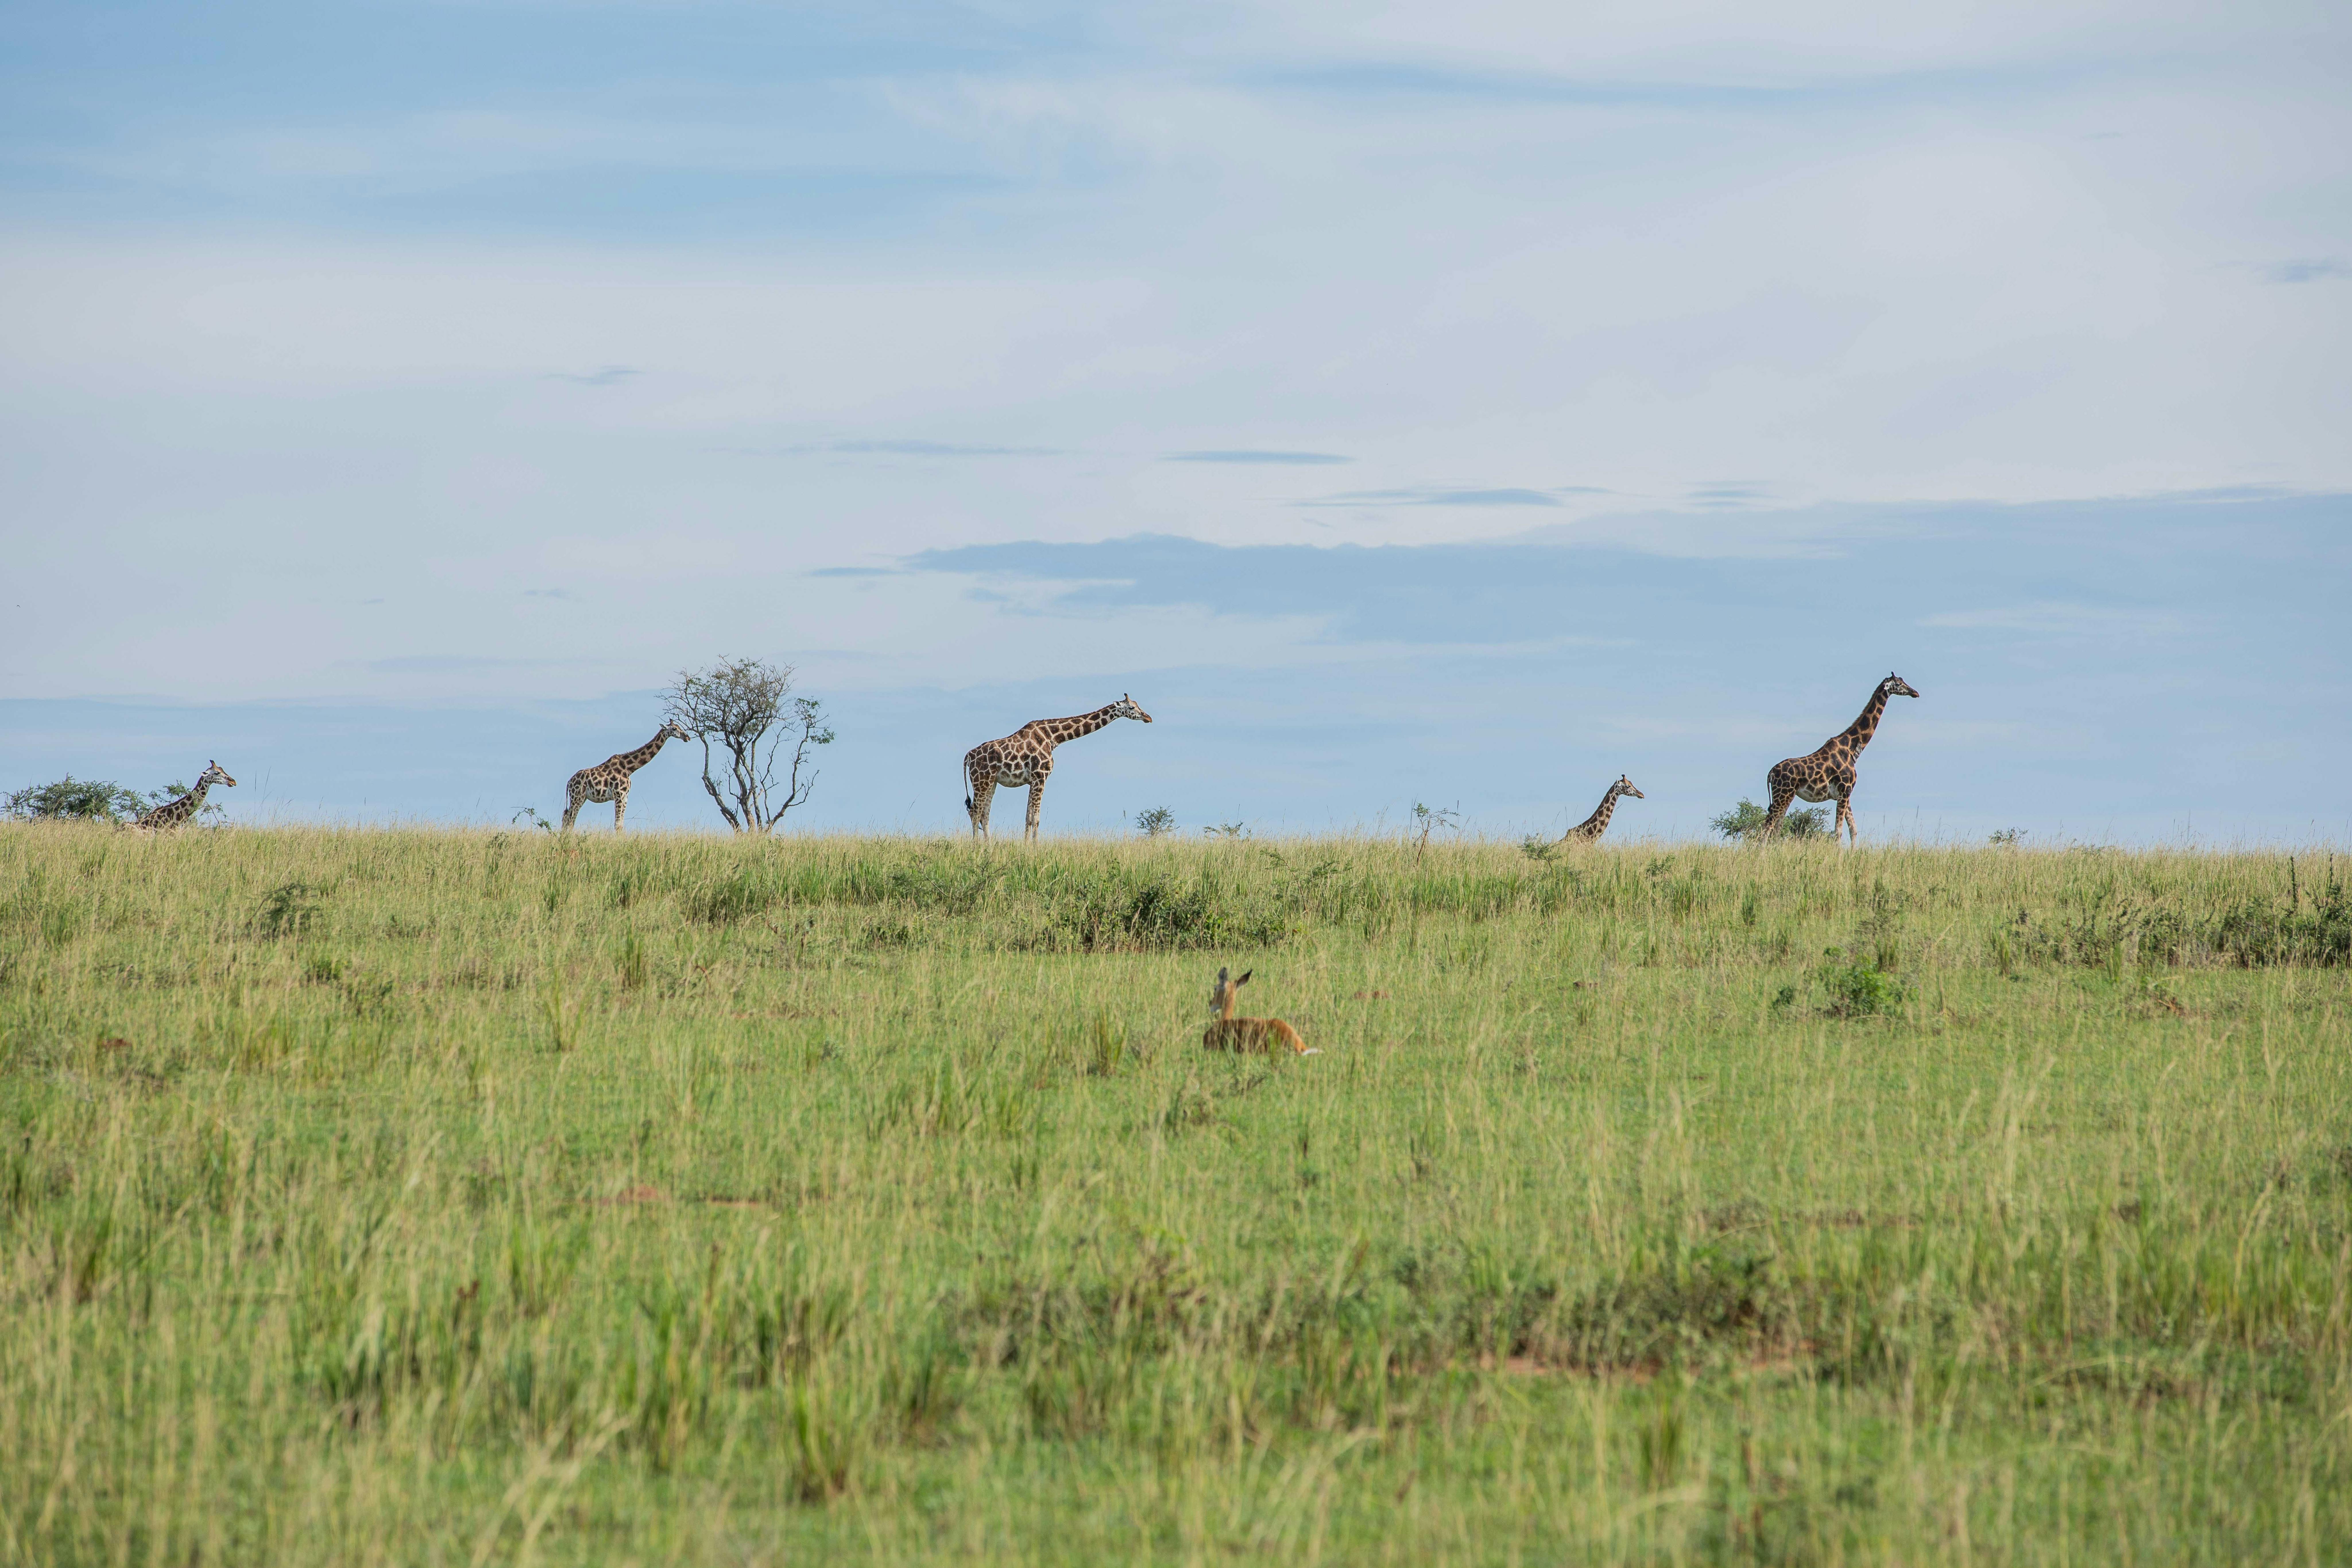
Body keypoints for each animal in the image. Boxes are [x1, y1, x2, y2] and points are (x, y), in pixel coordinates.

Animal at [562, 721, 691, 834]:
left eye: (680, 727)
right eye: (674, 729)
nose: (687, 737)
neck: (629, 768)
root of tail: (569, 782)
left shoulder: (625, 797)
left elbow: (621, 825)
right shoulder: (619, 795)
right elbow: (617, 825)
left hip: (582, 798)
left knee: (567, 817)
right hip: (578, 797)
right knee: (570, 819)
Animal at [962, 695, 1153, 841]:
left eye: (1138, 706)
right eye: (1132, 708)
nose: (1148, 718)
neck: (1054, 737)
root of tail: (969, 757)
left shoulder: (1033, 780)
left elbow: (1028, 818)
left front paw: (1026, 847)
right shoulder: (1041, 777)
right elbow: (1036, 819)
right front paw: (1035, 849)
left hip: (991, 782)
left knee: (984, 815)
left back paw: (989, 846)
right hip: (981, 781)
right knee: (975, 813)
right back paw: (977, 847)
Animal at [1759, 673, 1920, 846]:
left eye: (1903, 681)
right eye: (1899, 684)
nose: (1915, 693)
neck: (1852, 750)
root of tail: (1771, 774)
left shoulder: (1846, 794)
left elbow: (1853, 830)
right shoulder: (1845, 791)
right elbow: (1839, 831)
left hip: (1787, 796)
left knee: (1777, 826)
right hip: (1783, 794)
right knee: (1768, 824)